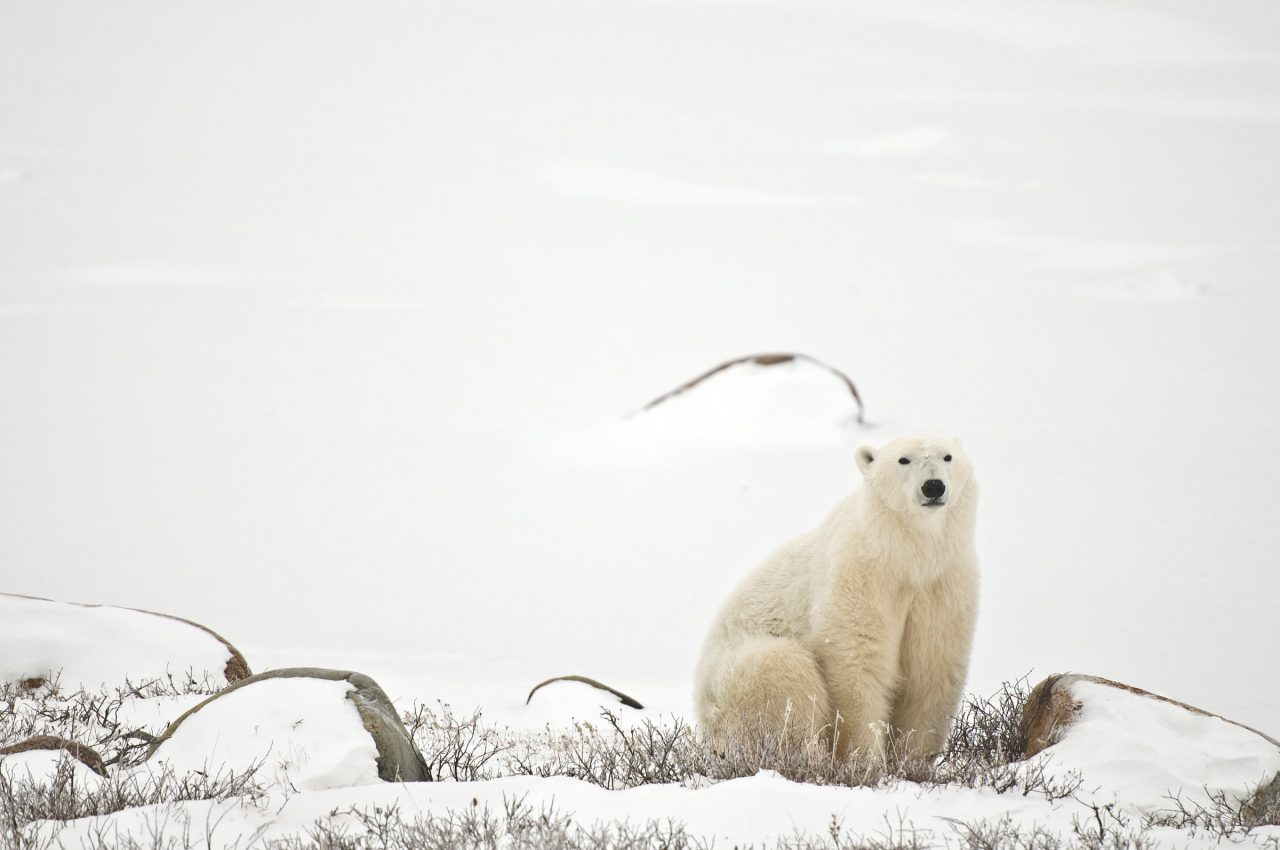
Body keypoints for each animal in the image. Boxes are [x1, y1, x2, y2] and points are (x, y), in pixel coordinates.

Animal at [694, 435, 979, 763]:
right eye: (903, 459)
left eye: (948, 457)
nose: (933, 486)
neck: (907, 555)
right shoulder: (861, 573)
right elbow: (856, 659)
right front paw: (866, 761)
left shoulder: (943, 584)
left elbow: (933, 668)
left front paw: (911, 761)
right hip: (730, 682)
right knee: (782, 670)